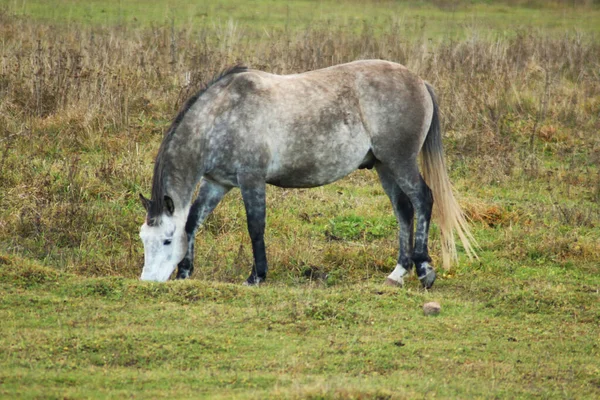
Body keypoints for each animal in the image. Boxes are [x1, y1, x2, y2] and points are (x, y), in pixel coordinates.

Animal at [138, 59, 476, 286]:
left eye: (166, 241)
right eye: (144, 239)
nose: (149, 282)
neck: (221, 115)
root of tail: (419, 81)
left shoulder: (251, 180)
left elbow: (255, 226)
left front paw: (256, 276)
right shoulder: (218, 184)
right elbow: (193, 221)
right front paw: (185, 272)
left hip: (400, 161)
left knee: (423, 200)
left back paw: (424, 270)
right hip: (384, 167)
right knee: (404, 211)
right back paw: (398, 272)